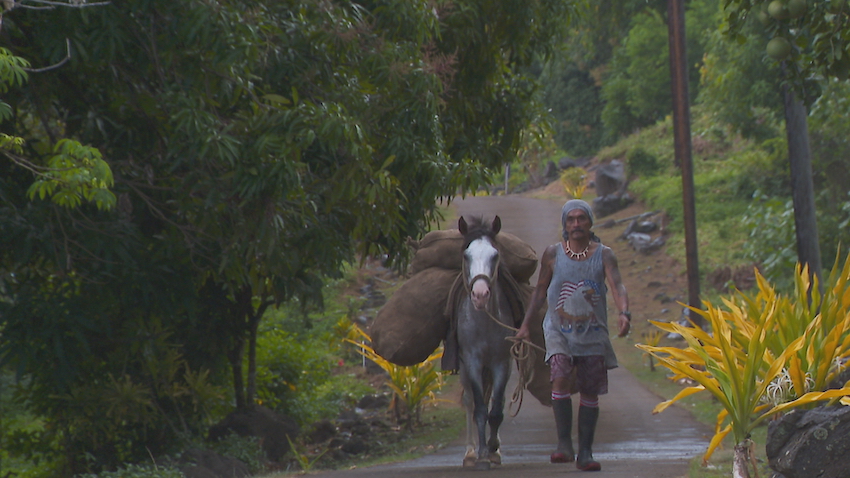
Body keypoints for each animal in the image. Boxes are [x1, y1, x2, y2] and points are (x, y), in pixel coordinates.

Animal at [454, 215, 520, 468]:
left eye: (495, 255)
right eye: (466, 255)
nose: (480, 295)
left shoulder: (501, 363)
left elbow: (497, 407)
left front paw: (493, 448)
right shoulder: (472, 362)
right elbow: (480, 409)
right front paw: (481, 453)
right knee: (470, 401)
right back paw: (471, 452)